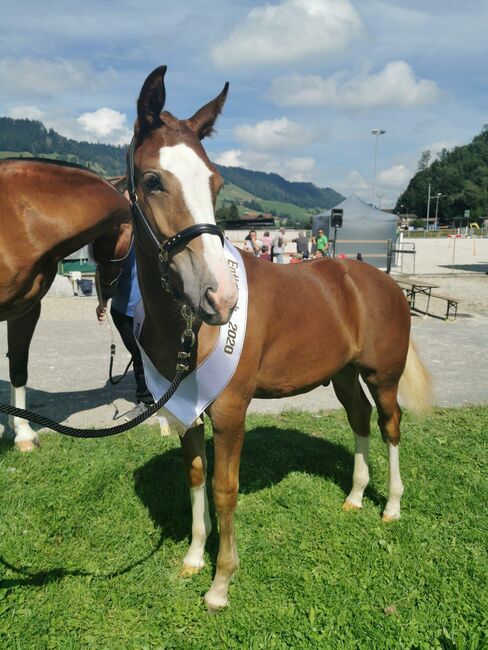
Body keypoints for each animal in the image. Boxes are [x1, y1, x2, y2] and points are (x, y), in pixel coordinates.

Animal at [129, 66, 430, 608]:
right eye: (152, 180)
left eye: (215, 181)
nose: (219, 296)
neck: (189, 330)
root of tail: (381, 280)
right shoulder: (185, 410)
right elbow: (196, 477)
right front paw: (193, 559)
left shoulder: (230, 411)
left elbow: (225, 489)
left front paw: (220, 583)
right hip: (343, 374)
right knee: (359, 417)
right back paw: (355, 497)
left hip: (383, 374)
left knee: (390, 423)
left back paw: (391, 507)